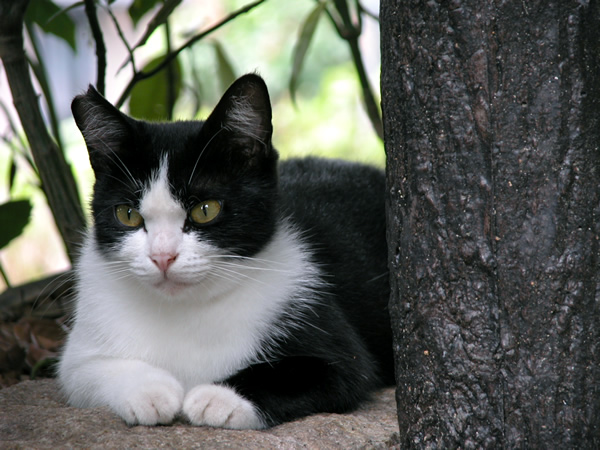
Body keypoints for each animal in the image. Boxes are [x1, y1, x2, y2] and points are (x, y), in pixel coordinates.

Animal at [57, 74, 394, 428]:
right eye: (127, 214)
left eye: (206, 209)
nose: (162, 256)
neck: (185, 310)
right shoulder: (79, 355)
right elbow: (84, 370)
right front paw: (150, 391)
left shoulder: (335, 346)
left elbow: (316, 371)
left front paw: (217, 397)